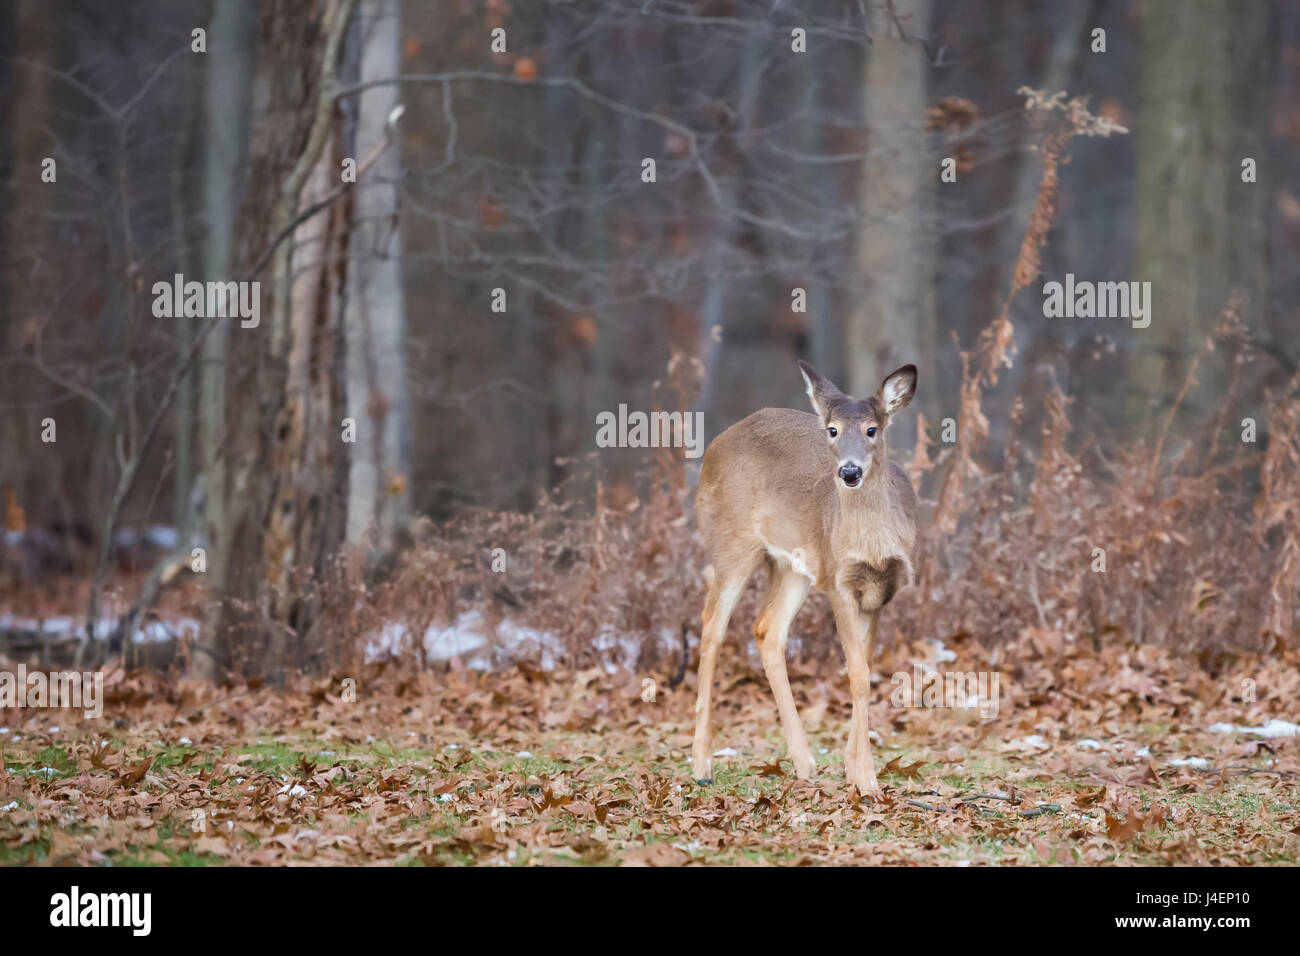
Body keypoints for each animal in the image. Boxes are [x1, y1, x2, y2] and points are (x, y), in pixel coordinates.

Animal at [692, 360, 918, 795]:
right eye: (832, 430)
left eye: (872, 429)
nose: (849, 471)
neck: (872, 542)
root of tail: (715, 444)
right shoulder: (837, 581)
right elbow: (858, 676)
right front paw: (867, 780)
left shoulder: (881, 590)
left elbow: (864, 668)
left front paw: (853, 767)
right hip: (732, 541)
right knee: (711, 627)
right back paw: (701, 766)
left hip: (792, 565)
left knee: (767, 629)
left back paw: (804, 763)